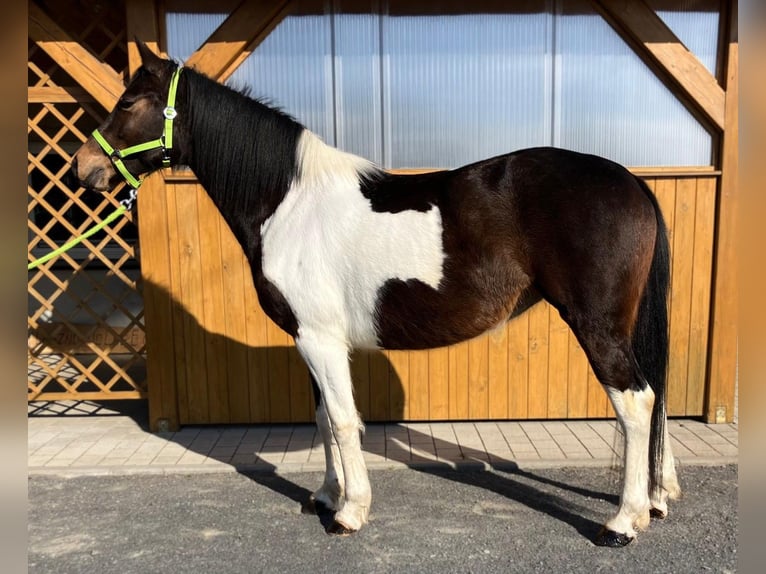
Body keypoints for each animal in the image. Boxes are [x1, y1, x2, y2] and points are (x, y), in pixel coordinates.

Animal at [72, 42, 680, 547]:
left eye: (130, 102)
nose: (84, 167)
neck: (288, 201)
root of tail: (631, 181)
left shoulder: (320, 339)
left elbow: (344, 421)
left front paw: (350, 512)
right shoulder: (309, 340)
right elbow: (323, 419)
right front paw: (325, 496)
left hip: (597, 326)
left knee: (636, 402)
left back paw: (623, 522)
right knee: (654, 396)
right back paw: (656, 499)